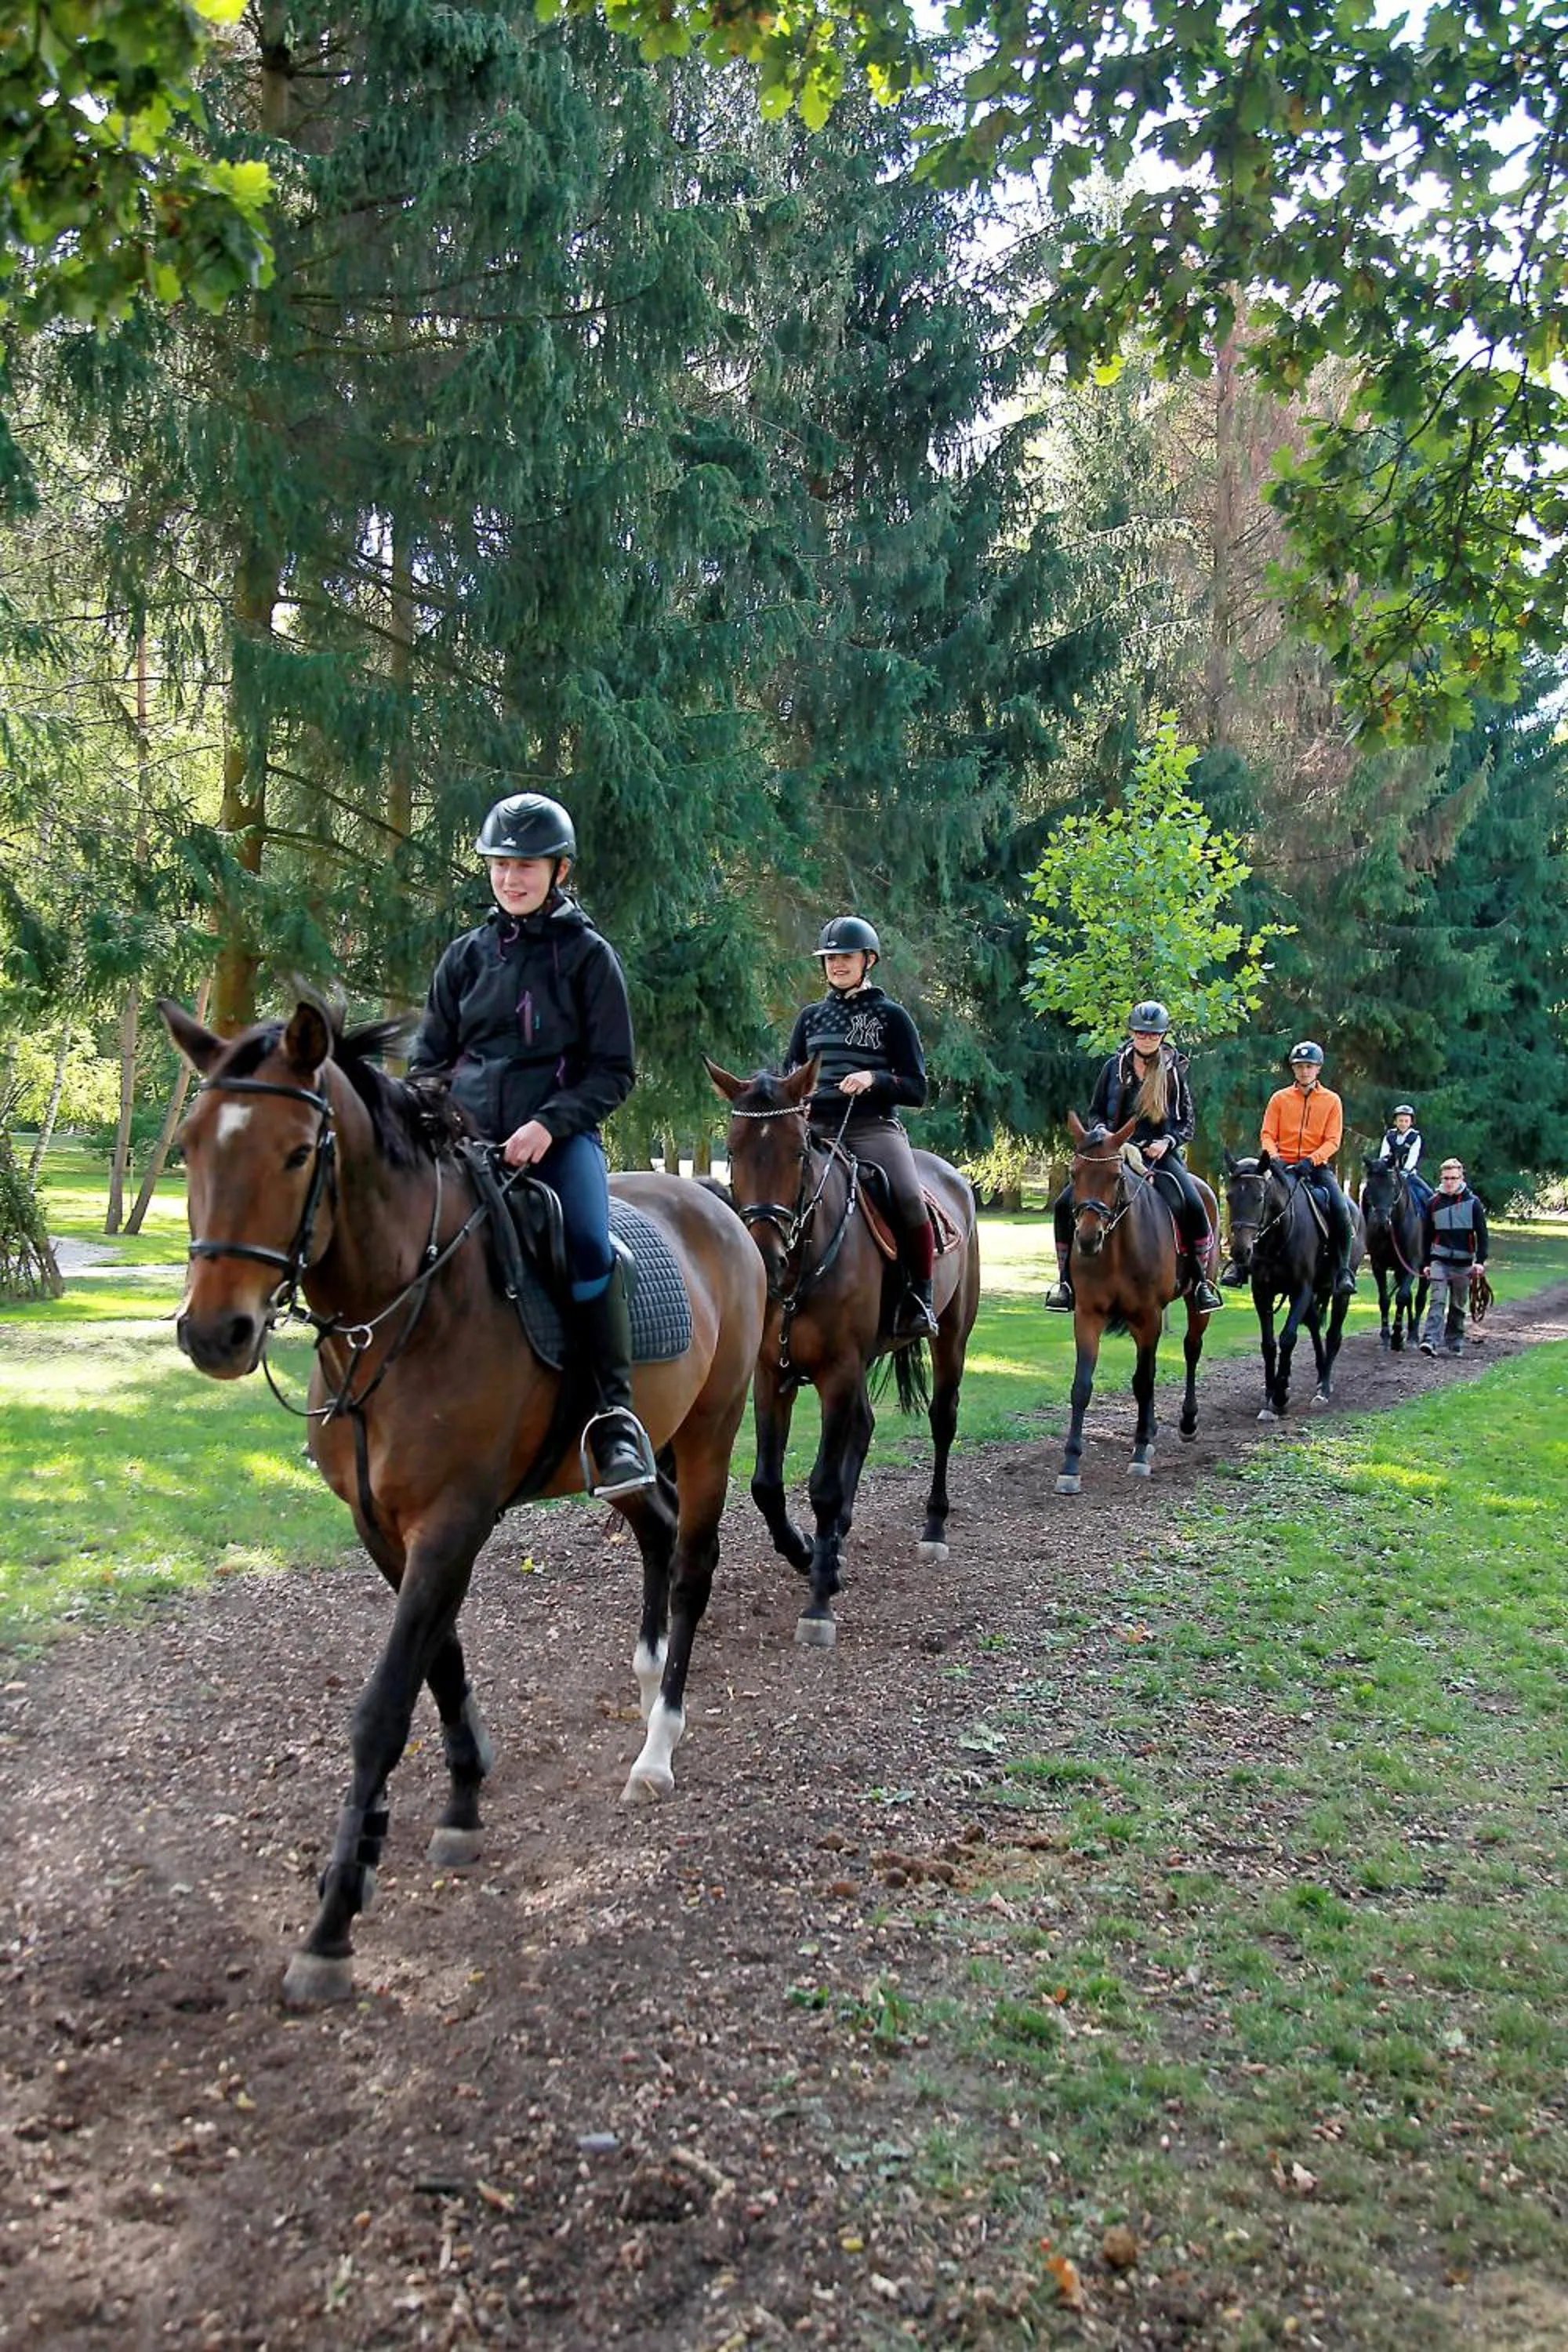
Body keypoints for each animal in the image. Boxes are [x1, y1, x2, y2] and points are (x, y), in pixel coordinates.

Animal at [162, 998, 764, 2007]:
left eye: (298, 1152)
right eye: (190, 1144)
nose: (215, 1332)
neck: (403, 1307)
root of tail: (717, 1207)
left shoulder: (452, 1523)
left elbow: (383, 1704)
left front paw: (332, 1923)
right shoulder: (385, 1528)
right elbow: (438, 1665)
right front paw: (456, 1806)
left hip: (711, 1432)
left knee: (690, 1566)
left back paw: (659, 1746)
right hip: (633, 1456)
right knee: (655, 1532)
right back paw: (644, 1683)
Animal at [704, 1057, 981, 1648]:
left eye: (796, 1151)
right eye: (734, 1150)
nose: (767, 1259)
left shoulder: (838, 1372)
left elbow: (825, 1486)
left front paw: (818, 1603)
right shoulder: (772, 1375)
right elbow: (767, 1485)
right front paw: (809, 1552)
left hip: (950, 1336)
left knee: (942, 1420)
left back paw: (934, 1527)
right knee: (866, 1425)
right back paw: (836, 1548)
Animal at [1054, 1113, 1219, 1495]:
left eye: (1116, 1176)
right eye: (1073, 1173)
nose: (1087, 1238)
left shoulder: (1148, 1316)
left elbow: (1144, 1380)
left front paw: (1141, 1452)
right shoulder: (1089, 1315)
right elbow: (1082, 1386)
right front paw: (1070, 1464)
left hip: (1190, 1304)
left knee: (1191, 1349)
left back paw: (1186, 1422)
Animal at [1222, 1152, 1364, 1420]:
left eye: (1259, 1198)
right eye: (1229, 1196)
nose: (1240, 1252)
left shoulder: (1302, 1290)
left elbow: (1288, 1337)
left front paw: (1280, 1397)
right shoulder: (1262, 1293)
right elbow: (1268, 1344)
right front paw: (1271, 1394)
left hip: (1339, 1294)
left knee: (1333, 1334)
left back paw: (1323, 1388)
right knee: (1315, 1327)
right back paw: (1315, 1372)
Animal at [1359, 1154, 1429, 1352]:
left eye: (1391, 1185)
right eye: (1370, 1185)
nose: (1381, 1223)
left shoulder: (1411, 1264)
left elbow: (1402, 1297)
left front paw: (1397, 1336)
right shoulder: (1378, 1265)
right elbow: (1385, 1299)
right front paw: (1386, 1336)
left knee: (1419, 1299)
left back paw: (1413, 1336)